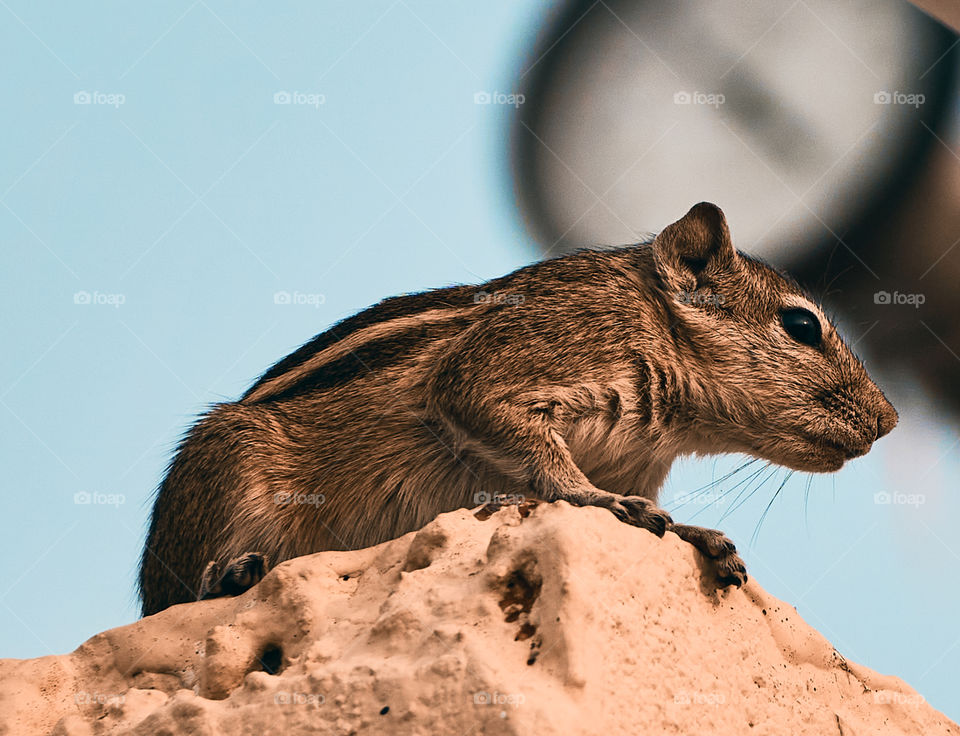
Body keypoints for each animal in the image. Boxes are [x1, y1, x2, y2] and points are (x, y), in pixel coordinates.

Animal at [137, 201, 900, 616]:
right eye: (800, 326)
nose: (889, 421)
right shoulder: (511, 365)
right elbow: (529, 450)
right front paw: (597, 502)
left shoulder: (640, 462)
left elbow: (660, 513)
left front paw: (696, 533)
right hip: (229, 469)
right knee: (177, 596)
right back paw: (226, 577)